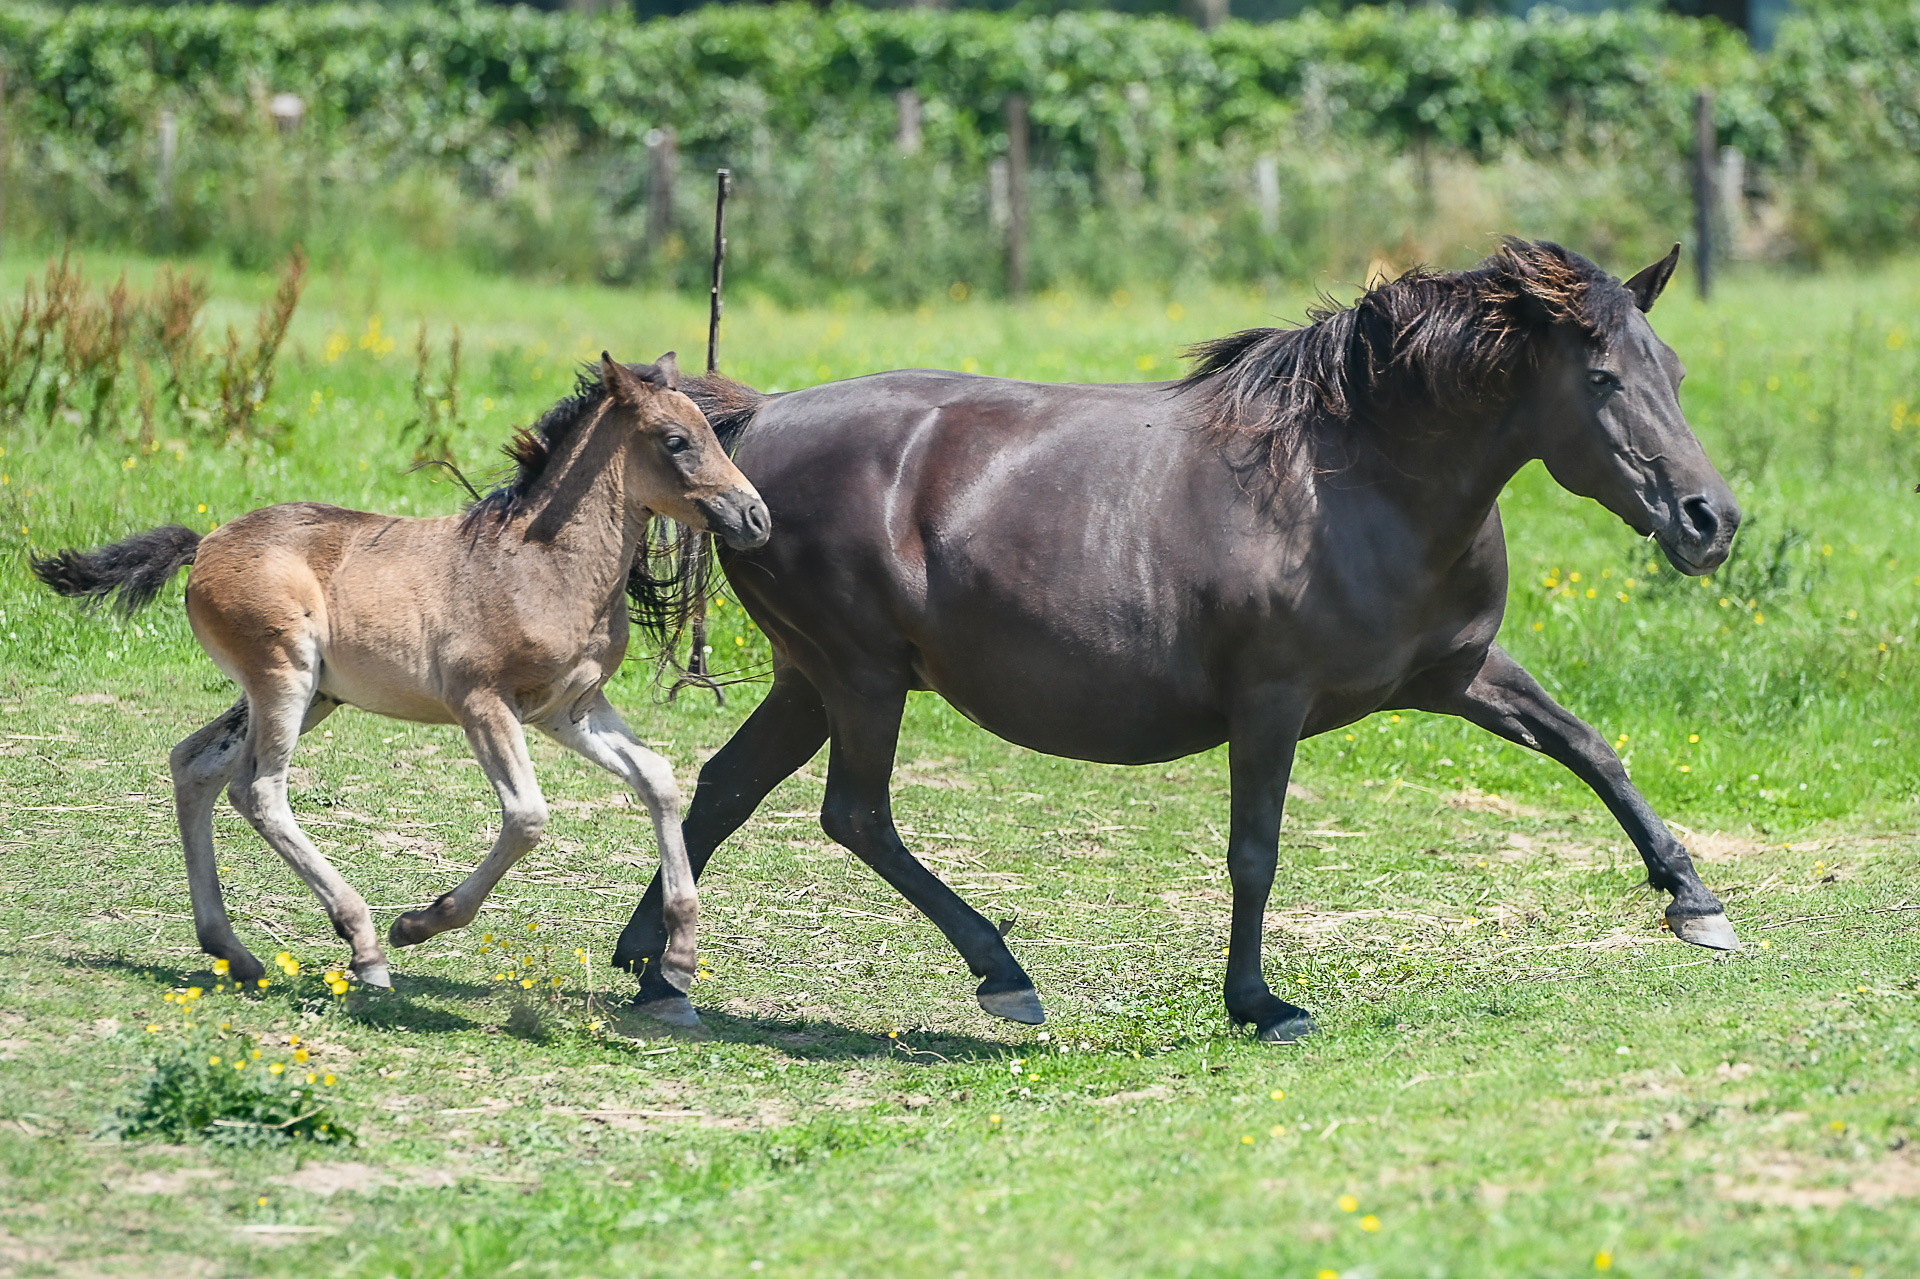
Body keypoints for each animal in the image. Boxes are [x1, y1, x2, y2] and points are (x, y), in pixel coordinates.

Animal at [34, 353, 767, 1005]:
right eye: (676, 441)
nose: (755, 516)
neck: (543, 563)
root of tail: (206, 544)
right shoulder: (481, 702)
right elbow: (528, 817)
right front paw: (419, 923)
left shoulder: (570, 709)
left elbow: (659, 779)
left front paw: (678, 959)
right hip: (283, 676)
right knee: (259, 790)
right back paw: (363, 946)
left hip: (311, 694)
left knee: (194, 764)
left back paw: (233, 951)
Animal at [608, 241, 1740, 1043]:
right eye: (1604, 379)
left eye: (1678, 369)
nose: (1709, 519)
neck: (1357, 483)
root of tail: (752, 429)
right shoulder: (1271, 702)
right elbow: (1255, 851)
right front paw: (1260, 1003)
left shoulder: (1456, 673)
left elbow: (1591, 749)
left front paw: (1695, 902)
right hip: (861, 675)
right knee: (854, 814)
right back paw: (1001, 975)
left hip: (812, 678)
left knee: (726, 787)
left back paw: (654, 970)